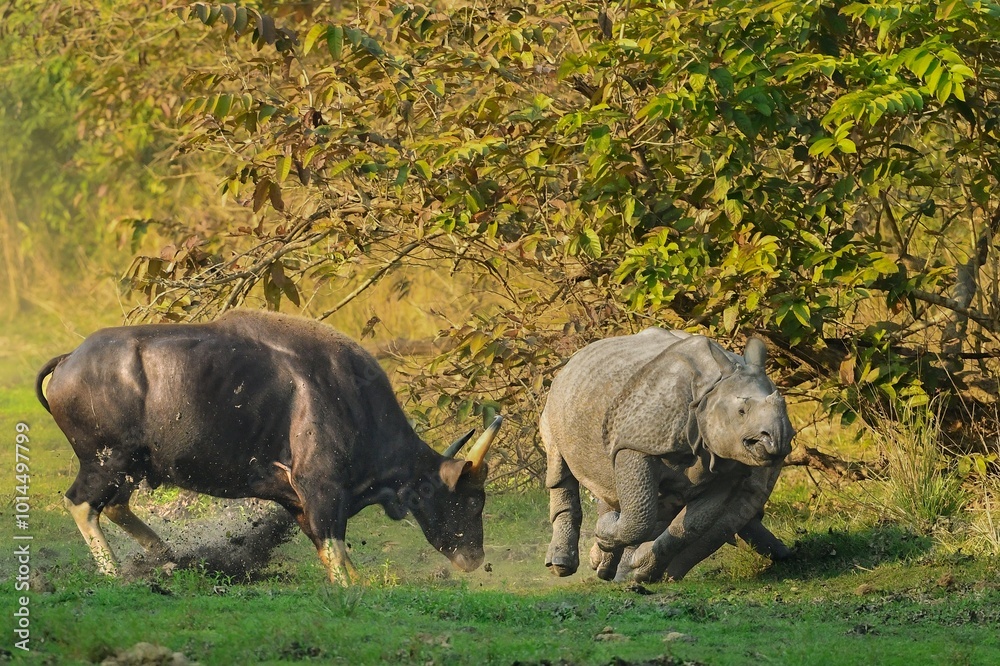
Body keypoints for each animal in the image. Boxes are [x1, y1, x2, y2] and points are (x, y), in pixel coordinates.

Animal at [35, 310, 502, 584]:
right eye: (473, 500)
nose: (475, 556)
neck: (352, 398)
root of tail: (69, 360)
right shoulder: (321, 491)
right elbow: (339, 559)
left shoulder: (298, 502)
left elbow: (331, 554)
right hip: (105, 461)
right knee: (80, 504)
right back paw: (115, 572)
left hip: (131, 466)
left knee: (115, 506)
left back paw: (168, 558)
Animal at [541, 328, 794, 583]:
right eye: (741, 411)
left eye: (784, 409)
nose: (779, 439)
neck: (710, 391)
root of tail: (574, 358)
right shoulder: (635, 444)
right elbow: (641, 516)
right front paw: (605, 533)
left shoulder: (730, 471)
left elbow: (690, 527)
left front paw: (641, 572)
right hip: (556, 398)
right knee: (558, 465)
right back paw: (562, 566)